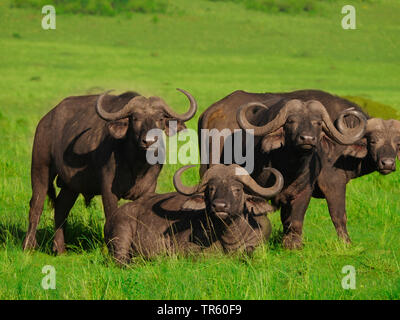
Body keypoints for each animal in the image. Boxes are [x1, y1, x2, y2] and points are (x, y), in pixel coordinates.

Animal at [22, 88, 198, 252]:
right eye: (135, 118)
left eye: (160, 118)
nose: (149, 141)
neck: (137, 164)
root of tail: (45, 120)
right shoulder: (108, 190)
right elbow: (111, 215)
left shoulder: (148, 189)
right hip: (40, 168)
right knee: (36, 205)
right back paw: (28, 246)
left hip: (70, 185)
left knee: (61, 208)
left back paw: (59, 249)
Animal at [104, 164, 282, 264]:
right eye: (211, 188)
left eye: (237, 189)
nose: (219, 206)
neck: (228, 236)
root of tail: (112, 218)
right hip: (122, 233)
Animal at [198, 89, 368, 249]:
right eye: (291, 121)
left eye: (318, 123)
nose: (307, 139)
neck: (289, 168)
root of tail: (211, 111)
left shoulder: (304, 191)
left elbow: (294, 219)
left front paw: (293, 245)